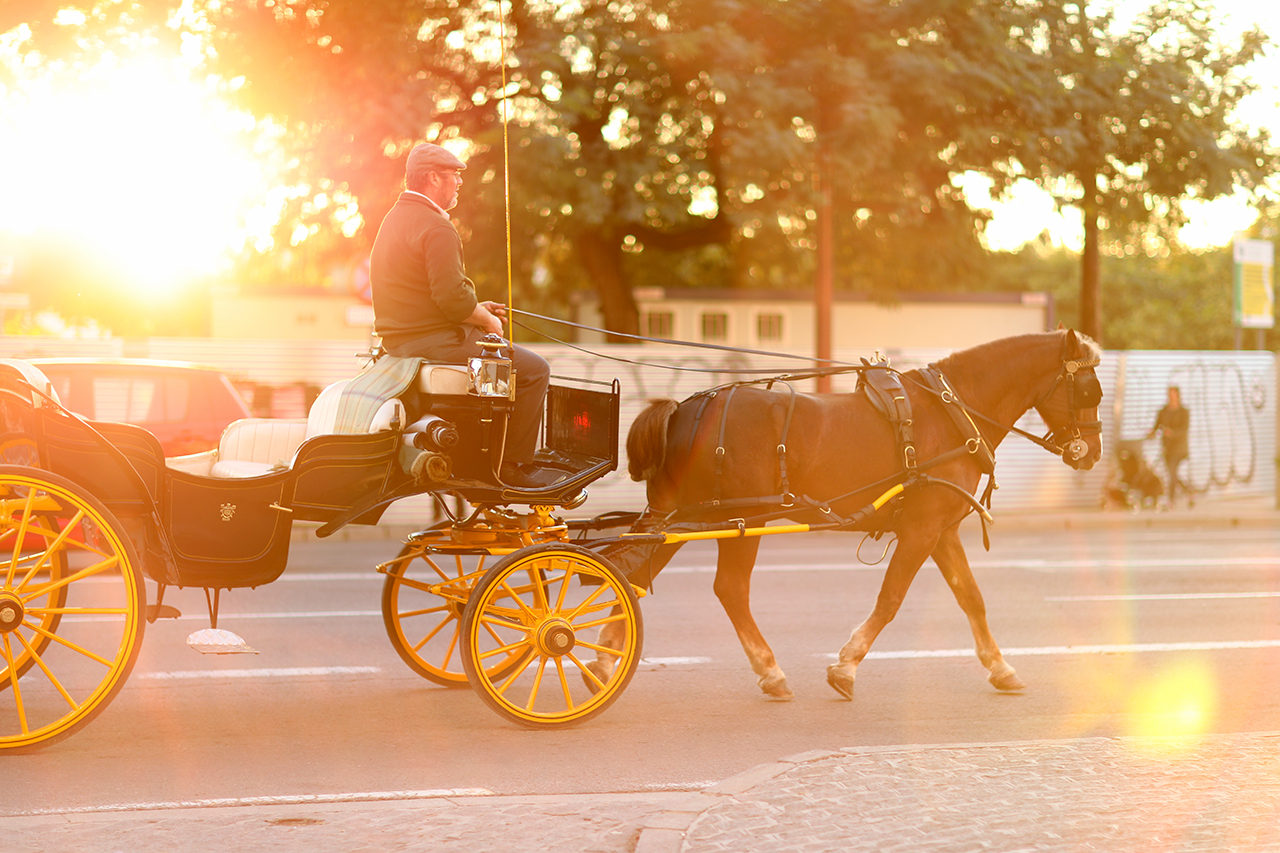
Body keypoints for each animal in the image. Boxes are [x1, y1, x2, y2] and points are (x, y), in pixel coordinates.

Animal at [614, 325, 1105, 696]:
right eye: (1088, 390)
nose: (1094, 454)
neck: (951, 411)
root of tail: (686, 409)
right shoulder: (921, 530)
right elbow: (890, 599)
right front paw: (846, 666)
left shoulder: (941, 531)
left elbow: (971, 597)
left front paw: (1000, 667)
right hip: (737, 522)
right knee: (727, 589)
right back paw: (768, 669)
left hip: (681, 516)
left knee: (632, 574)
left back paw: (608, 651)